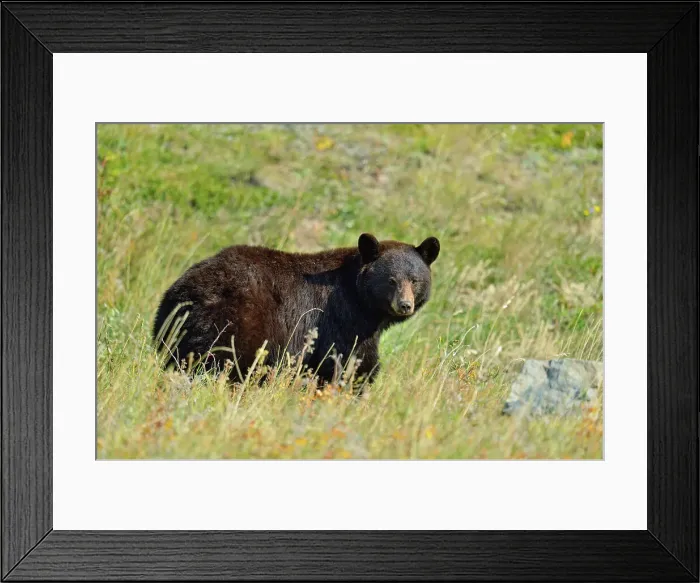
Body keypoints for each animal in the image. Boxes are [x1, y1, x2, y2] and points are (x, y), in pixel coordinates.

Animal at [153, 233, 440, 385]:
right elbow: (347, 362)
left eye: (414, 280)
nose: (404, 305)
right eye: (391, 280)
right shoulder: (341, 320)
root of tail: (184, 293)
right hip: (235, 322)